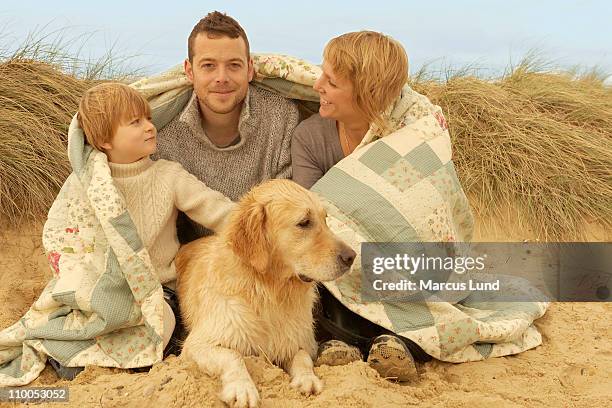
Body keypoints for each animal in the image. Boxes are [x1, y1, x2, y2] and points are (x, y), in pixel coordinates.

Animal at [175, 180, 356, 406]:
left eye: (325, 219)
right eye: (304, 222)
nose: (352, 257)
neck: (269, 292)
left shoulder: (299, 340)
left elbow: (303, 356)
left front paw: (307, 378)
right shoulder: (197, 344)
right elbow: (233, 356)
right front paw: (242, 388)